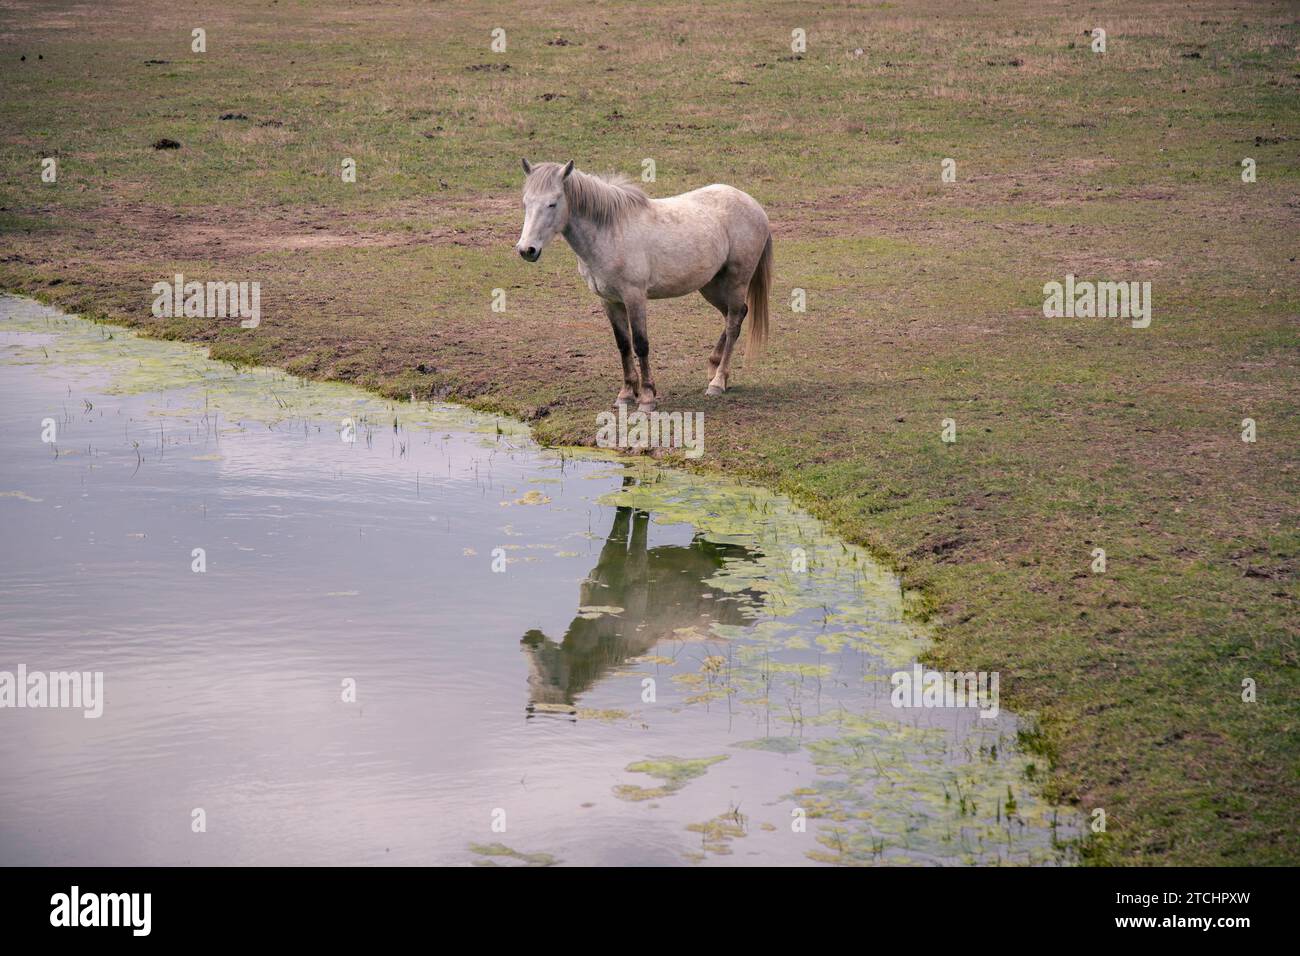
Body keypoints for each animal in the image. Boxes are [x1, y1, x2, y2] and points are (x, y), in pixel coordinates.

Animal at [515, 160, 772, 412]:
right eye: (526, 202)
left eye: (552, 203)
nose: (527, 250)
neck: (610, 231)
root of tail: (753, 204)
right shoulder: (609, 300)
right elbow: (623, 345)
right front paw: (627, 394)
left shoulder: (634, 297)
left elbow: (640, 344)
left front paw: (647, 397)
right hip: (710, 285)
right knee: (734, 315)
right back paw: (714, 369)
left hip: (737, 282)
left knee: (733, 323)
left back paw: (718, 381)